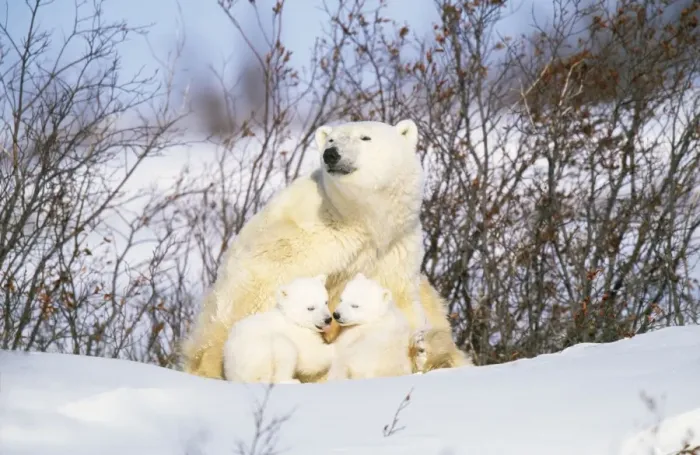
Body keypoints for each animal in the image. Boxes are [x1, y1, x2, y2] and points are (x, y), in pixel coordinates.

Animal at [179, 118, 471, 380]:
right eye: (331, 139)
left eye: (365, 137)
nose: (331, 155)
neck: (360, 221)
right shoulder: (302, 241)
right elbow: (267, 291)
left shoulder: (395, 249)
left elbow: (398, 300)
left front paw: (419, 350)